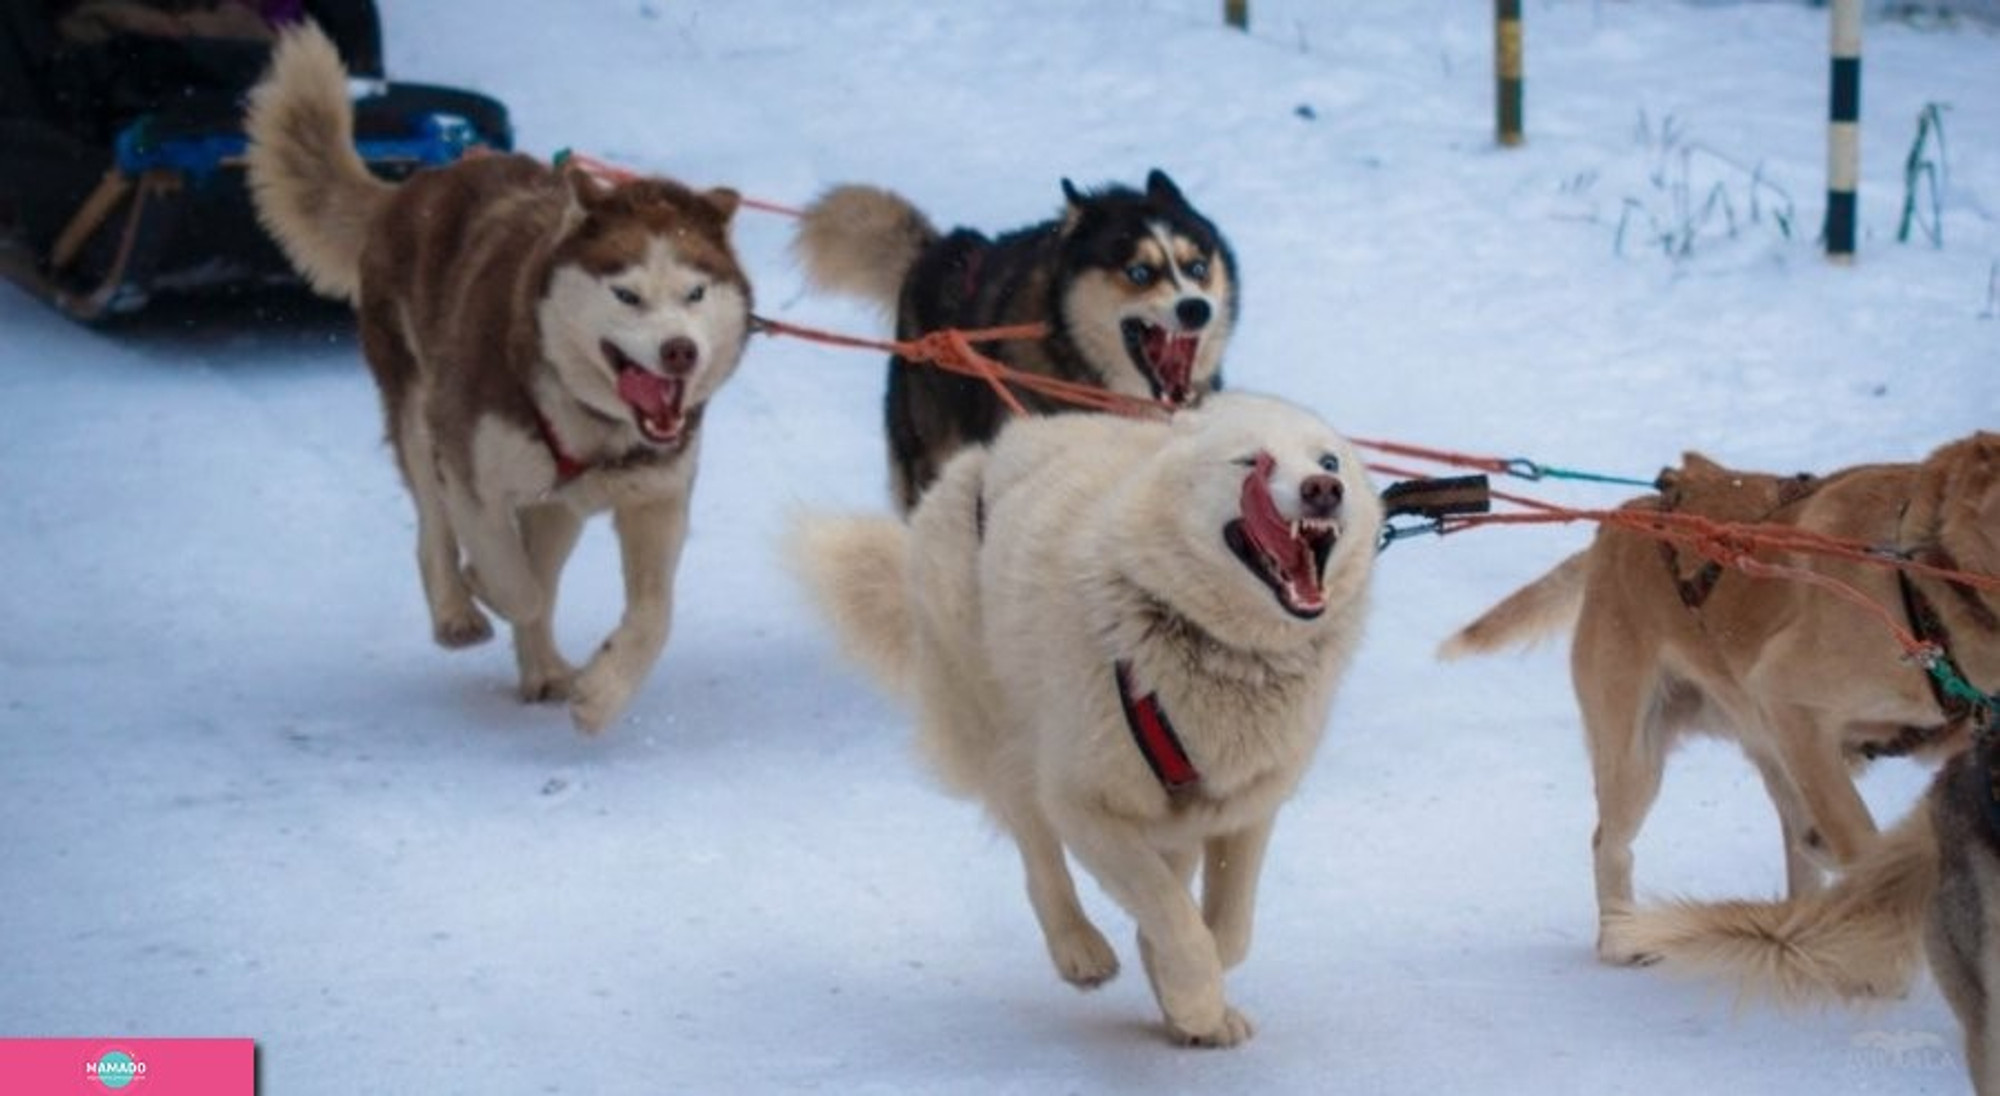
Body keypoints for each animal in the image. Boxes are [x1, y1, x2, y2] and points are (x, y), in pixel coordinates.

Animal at [244, 23, 752, 728]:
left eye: (695, 292)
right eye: (626, 295)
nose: (679, 352)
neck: (589, 421)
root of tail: (419, 185)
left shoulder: (656, 497)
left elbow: (652, 615)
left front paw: (602, 692)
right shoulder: (472, 472)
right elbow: (515, 581)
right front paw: (484, 586)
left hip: (555, 503)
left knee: (541, 556)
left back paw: (544, 669)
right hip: (418, 413)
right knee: (435, 526)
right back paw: (457, 609)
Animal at [788, 394, 1384, 1048]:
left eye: (1328, 460)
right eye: (1250, 460)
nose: (1323, 489)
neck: (1220, 649)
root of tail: (980, 459)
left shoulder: (1245, 807)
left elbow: (1226, 931)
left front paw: (1183, 997)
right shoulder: (1085, 803)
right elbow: (1177, 920)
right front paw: (1194, 999)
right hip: (1009, 742)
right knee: (1039, 858)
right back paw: (1079, 948)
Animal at [1448, 432, 2000, 964]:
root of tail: (1629, 513)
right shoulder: (1788, 700)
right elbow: (1861, 840)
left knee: (1799, 843)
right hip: (1637, 760)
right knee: (1610, 843)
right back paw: (1622, 939)